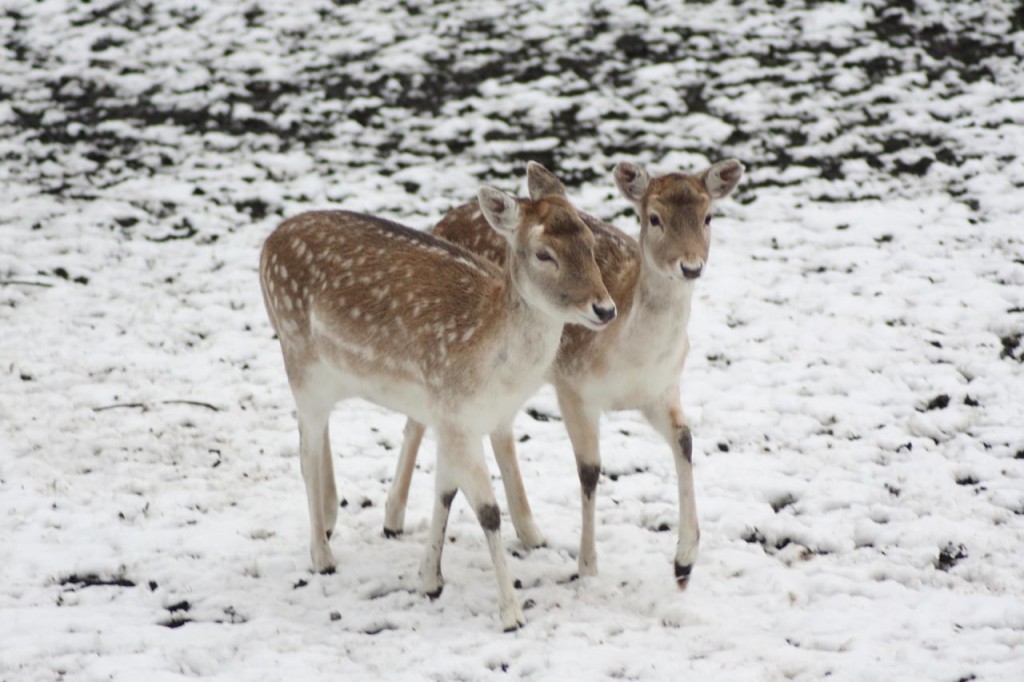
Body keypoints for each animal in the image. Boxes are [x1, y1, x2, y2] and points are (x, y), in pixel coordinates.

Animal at [260, 161, 618, 630]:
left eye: (591, 243)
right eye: (544, 254)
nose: (605, 308)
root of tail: (266, 244)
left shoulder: (459, 419)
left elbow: (445, 491)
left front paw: (430, 578)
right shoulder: (454, 411)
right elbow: (487, 510)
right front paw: (510, 613)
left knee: (318, 439)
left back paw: (330, 520)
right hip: (299, 361)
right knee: (305, 454)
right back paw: (322, 555)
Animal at [385, 159, 745, 589]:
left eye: (708, 217)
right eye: (654, 218)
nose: (690, 266)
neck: (631, 362)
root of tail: (443, 219)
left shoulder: (664, 388)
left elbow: (685, 441)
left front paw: (684, 562)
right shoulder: (574, 387)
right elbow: (589, 470)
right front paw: (587, 565)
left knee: (500, 428)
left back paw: (529, 531)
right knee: (416, 422)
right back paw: (393, 519)